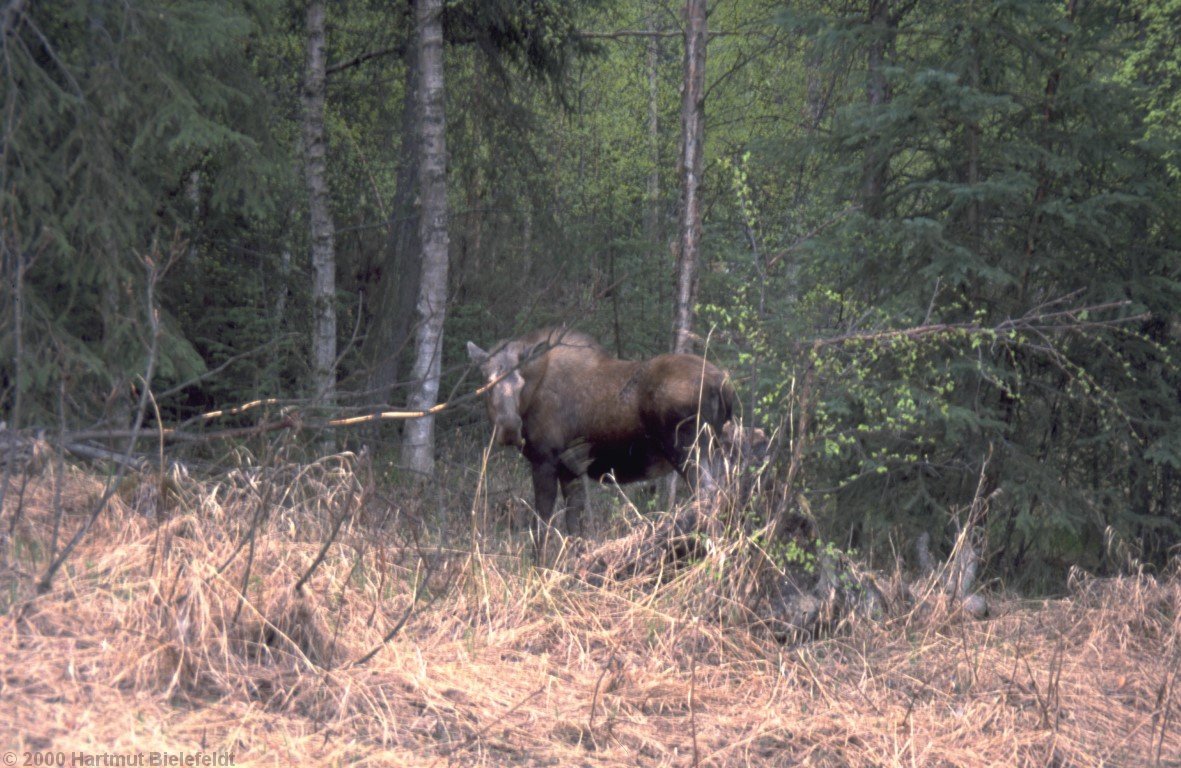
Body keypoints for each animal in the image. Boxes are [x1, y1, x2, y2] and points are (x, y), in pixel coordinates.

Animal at [465, 326, 732, 552]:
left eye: (520, 382)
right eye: (486, 383)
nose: (510, 428)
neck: (529, 399)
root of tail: (723, 384)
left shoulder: (545, 459)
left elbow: (542, 525)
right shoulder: (570, 468)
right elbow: (574, 523)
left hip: (688, 449)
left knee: (708, 496)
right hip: (718, 448)